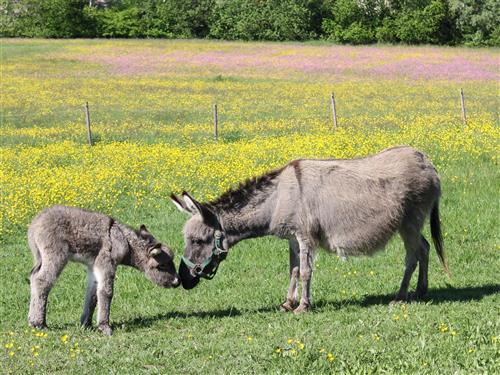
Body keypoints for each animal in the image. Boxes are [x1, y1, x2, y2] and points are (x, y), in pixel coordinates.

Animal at [27, 207, 180, 336]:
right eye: (162, 266)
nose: (177, 282)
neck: (122, 240)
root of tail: (34, 224)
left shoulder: (93, 267)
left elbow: (93, 294)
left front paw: (86, 324)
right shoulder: (106, 262)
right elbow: (106, 292)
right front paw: (104, 327)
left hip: (41, 258)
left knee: (33, 277)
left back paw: (32, 320)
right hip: (55, 254)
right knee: (42, 281)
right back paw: (39, 323)